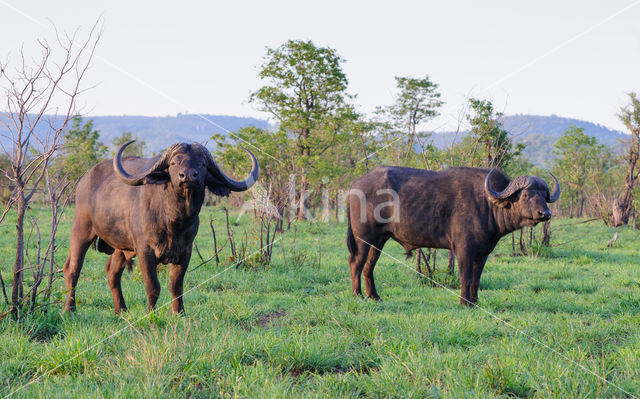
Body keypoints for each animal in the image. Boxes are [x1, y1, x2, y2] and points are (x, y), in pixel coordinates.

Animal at [62, 142, 258, 314]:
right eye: (173, 163)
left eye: (203, 164)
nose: (188, 176)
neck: (174, 220)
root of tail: (84, 180)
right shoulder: (145, 250)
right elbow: (153, 286)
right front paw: (151, 313)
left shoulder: (185, 252)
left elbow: (176, 286)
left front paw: (179, 313)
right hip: (81, 230)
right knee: (72, 269)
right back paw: (70, 308)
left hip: (121, 246)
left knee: (112, 272)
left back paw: (121, 309)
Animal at [344, 166, 560, 306]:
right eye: (526, 195)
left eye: (544, 194)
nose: (545, 214)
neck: (487, 204)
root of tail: (354, 185)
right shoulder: (464, 250)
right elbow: (465, 277)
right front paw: (464, 303)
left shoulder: (483, 253)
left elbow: (476, 279)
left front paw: (475, 302)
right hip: (363, 238)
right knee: (356, 262)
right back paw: (357, 295)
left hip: (379, 239)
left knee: (368, 267)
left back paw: (374, 297)